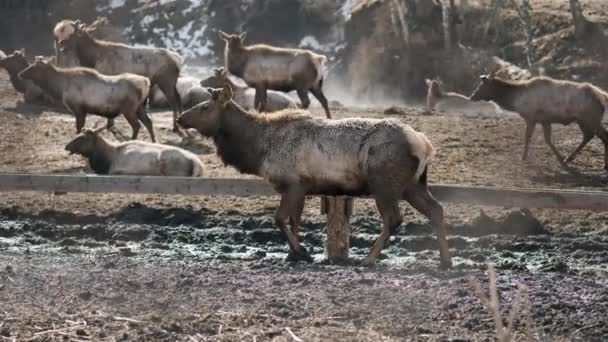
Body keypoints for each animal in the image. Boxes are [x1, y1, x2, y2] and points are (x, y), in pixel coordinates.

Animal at [20, 58, 156, 141]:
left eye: (34, 67)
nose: (20, 73)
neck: (60, 87)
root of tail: (146, 82)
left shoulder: (78, 108)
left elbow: (79, 127)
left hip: (129, 109)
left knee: (137, 125)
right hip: (140, 107)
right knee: (148, 122)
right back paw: (154, 141)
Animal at [176, 84, 452, 268]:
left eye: (205, 107)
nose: (180, 118)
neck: (258, 149)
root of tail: (425, 145)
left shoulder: (293, 183)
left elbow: (279, 219)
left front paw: (302, 251)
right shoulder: (301, 187)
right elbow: (294, 220)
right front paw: (294, 253)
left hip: (384, 183)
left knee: (393, 218)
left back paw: (369, 258)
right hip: (413, 185)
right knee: (436, 210)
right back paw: (445, 261)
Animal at [470, 71, 608, 170]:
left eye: (481, 86)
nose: (471, 96)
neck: (515, 100)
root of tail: (602, 96)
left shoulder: (530, 117)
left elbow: (528, 137)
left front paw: (523, 157)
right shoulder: (544, 120)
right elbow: (548, 140)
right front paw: (560, 159)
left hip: (591, 118)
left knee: (603, 135)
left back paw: (604, 164)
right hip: (582, 120)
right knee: (588, 136)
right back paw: (568, 159)